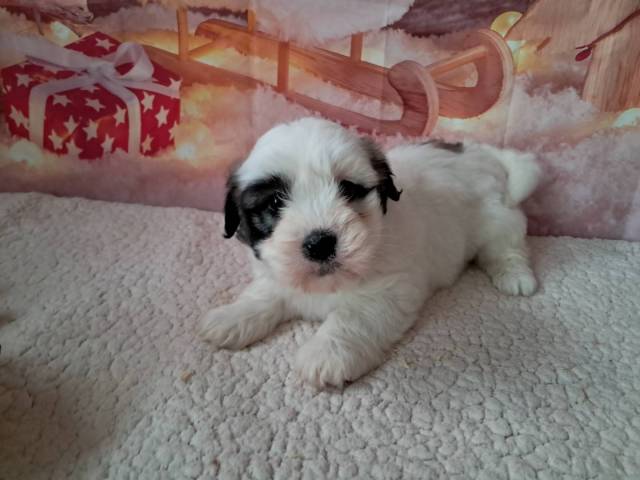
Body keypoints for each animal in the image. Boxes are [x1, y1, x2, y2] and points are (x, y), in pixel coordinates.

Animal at [200, 118, 540, 388]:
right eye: (274, 202)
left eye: (348, 190)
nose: (320, 243)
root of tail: (487, 154)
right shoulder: (277, 272)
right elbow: (263, 293)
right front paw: (233, 317)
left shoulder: (389, 288)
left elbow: (352, 318)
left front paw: (326, 353)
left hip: (498, 219)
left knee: (507, 247)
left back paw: (515, 277)